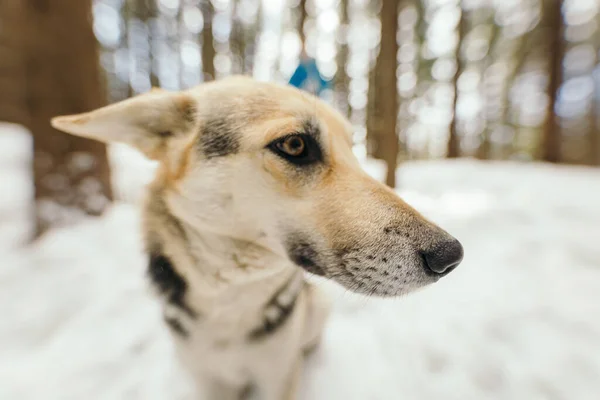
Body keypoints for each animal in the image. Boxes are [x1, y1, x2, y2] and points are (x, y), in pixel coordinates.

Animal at [52, 76, 464, 400]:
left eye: (353, 150)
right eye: (295, 145)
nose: (451, 255)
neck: (230, 296)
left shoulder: (276, 375)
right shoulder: (208, 379)